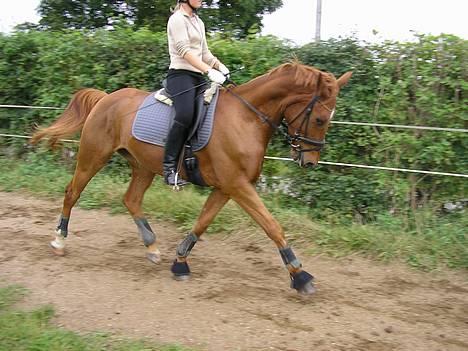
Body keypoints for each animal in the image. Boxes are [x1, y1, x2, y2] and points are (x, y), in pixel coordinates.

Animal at [31, 62, 352, 296]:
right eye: (320, 119)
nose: (309, 161)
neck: (246, 118)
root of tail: (105, 98)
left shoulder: (227, 187)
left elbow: (202, 222)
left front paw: (180, 263)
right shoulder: (238, 185)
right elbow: (272, 226)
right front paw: (300, 276)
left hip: (143, 166)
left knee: (131, 199)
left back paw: (152, 248)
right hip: (93, 156)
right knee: (72, 192)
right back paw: (59, 240)